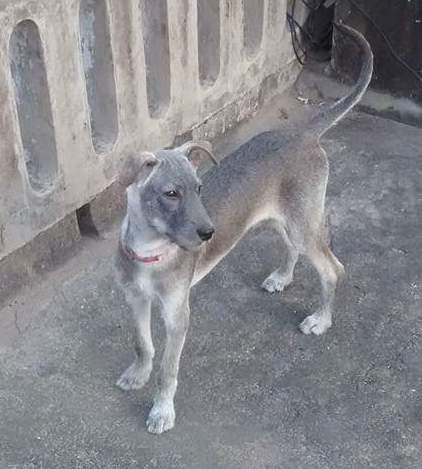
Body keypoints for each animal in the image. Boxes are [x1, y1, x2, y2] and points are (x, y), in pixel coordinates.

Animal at [115, 24, 372, 436]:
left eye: (199, 188)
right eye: (171, 193)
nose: (209, 233)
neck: (150, 251)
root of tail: (303, 133)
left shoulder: (177, 315)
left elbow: (168, 371)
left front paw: (162, 411)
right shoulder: (135, 300)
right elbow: (142, 344)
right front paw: (138, 374)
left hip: (302, 223)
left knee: (333, 269)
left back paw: (321, 320)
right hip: (280, 219)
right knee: (293, 249)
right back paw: (282, 277)